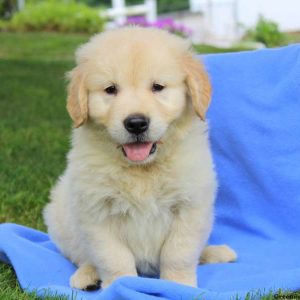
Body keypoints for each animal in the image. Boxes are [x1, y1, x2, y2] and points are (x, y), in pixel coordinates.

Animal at [44, 27, 237, 290]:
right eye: (110, 89)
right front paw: (121, 287)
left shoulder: (190, 207)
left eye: (157, 87)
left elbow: (179, 253)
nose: (136, 123)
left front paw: (179, 285)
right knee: (82, 255)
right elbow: (113, 258)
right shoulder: (97, 213)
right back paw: (87, 276)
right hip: (60, 221)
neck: (142, 169)